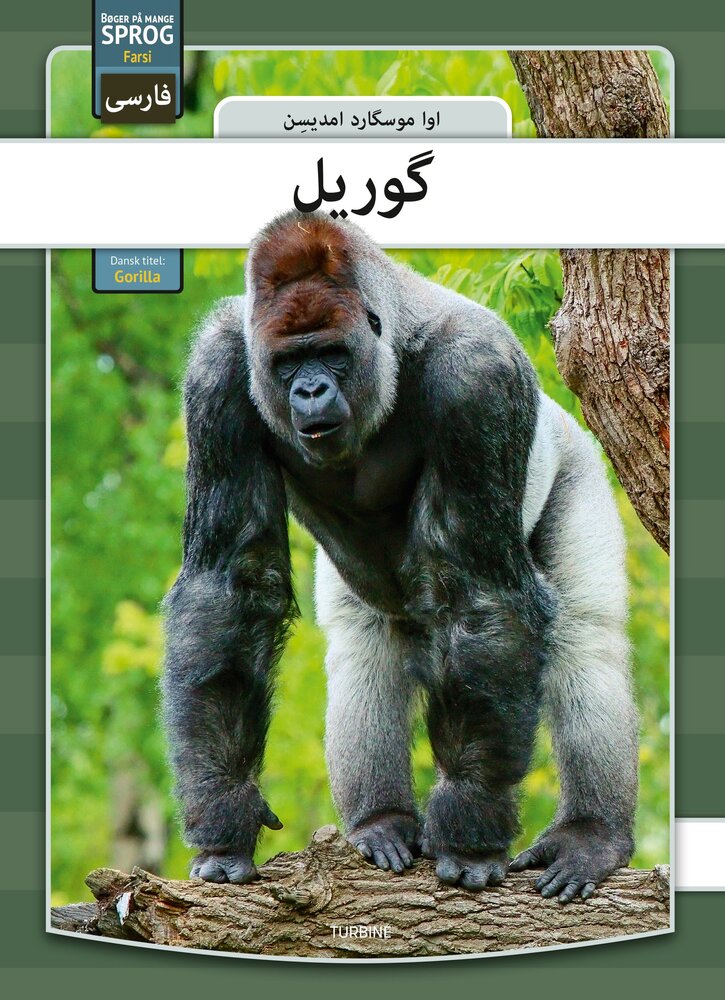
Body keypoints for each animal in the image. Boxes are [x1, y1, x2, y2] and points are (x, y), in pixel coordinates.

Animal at [161, 210, 639, 902]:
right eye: (288, 362)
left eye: (332, 353)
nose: (310, 390)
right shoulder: (218, 372)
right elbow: (228, 587)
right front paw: (225, 815)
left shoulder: (478, 377)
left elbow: (479, 596)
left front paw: (470, 831)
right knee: (364, 647)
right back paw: (379, 821)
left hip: (574, 457)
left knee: (585, 638)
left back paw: (590, 835)